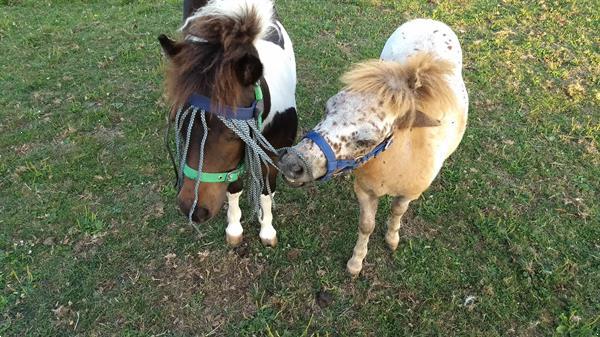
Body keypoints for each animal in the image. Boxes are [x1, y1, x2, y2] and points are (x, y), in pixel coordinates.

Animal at [159, 0, 298, 247]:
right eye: (178, 122)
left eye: (234, 133)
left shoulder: (271, 156)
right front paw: (234, 230)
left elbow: (266, 191)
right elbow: (233, 188)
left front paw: (267, 231)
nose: (192, 209)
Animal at [276, 18, 468, 274]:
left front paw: (391, 239)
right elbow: (366, 225)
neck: (398, 160)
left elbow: (397, 212)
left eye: (365, 140)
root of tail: (430, 20)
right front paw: (356, 262)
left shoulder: (408, 194)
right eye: (327, 108)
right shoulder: (365, 191)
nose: (292, 164)